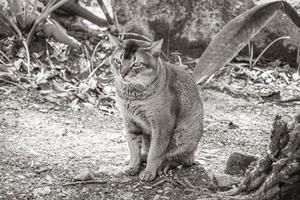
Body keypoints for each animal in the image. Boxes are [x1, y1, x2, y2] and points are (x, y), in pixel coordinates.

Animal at [108, 34, 204, 181]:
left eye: (137, 64)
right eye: (118, 61)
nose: (122, 74)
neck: (133, 96)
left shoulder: (162, 124)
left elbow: (155, 152)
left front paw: (149, 172)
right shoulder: (130, 121)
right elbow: (133, 149)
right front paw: (133, 166)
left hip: (182, 135)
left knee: (179, 158)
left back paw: (163, 165)